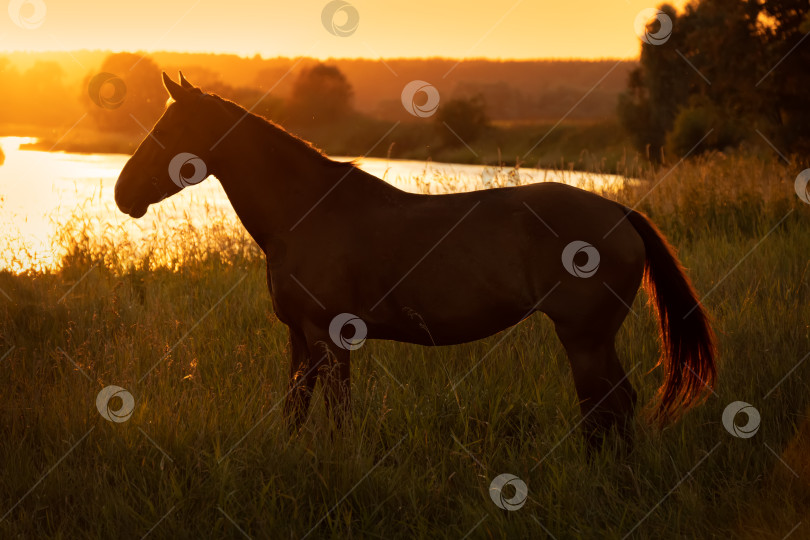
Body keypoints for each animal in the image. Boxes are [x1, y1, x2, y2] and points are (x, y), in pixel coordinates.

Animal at [112, 74, 712, 450]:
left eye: (169, 131)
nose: (122, 194)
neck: (306, 212)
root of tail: (619, 211)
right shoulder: (299, 337)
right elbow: (294, 412)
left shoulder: (330, 337)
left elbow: (336, 417)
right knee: (613, 408)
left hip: (584, 337)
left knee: (607, 407)